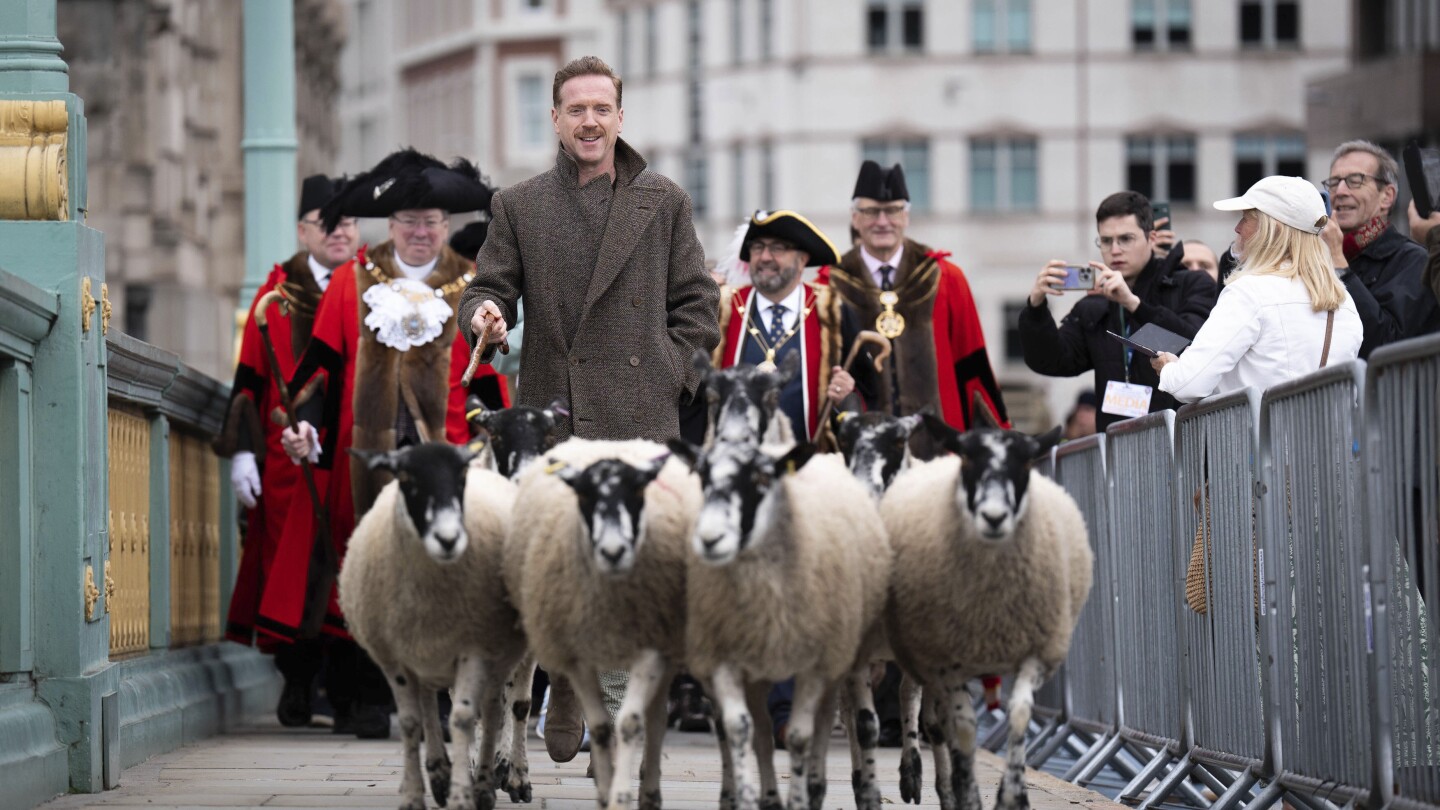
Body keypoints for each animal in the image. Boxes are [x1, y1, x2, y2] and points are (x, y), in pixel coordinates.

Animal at [338, 441, 529, 807]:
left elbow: (473, 716)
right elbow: (413, 722)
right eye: (406, 478)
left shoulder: (477, 648)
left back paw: (504, 777)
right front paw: (418, 793)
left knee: (505, 707)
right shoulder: (397, 657)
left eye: (460, 476)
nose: (448, 538)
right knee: (437, 703)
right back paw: (444, 773)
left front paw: (470, 792)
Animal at [668, 438, 892, 810]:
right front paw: (750, 796)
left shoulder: (820, 665)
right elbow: (741, 730)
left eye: (761, 479)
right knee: (750, 731)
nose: (711, 538)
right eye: (702, 476)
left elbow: (807, 734)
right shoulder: (727, 662)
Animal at [875, 415, 1088, 807]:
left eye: (1026, 464)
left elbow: (1018, 714)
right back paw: (915, 774)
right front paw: (965, 792)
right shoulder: (947, 659)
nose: (994, 517)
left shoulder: (1034, 652)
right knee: (912, 698)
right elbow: (959, 727)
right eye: (968, 460)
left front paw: (1013, 794)